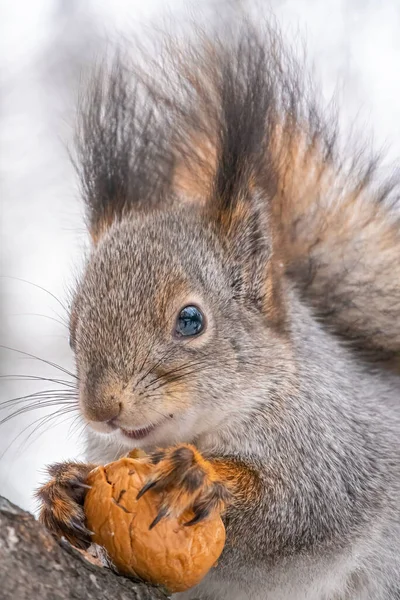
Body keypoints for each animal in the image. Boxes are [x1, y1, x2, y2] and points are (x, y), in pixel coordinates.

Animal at [36, 19, 400, 600]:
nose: (101, 410)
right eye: (73, 331)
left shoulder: (337, 454)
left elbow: (296, 512)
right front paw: (62, 493)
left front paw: (202, 478)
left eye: (191, 320)